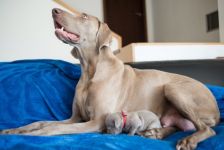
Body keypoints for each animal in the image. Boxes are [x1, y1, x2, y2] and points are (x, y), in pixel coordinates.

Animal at [0, 8, 220, 150]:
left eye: (84, 16)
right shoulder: (75, 117)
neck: (90, 70)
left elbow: (52, 127)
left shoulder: (96, 121)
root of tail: (217, 111)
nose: (54, 11)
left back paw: (188, 140)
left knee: (208, 130)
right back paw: (155, 133)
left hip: (173, 89)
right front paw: (13, 130)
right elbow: (40, 122)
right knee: (175, 125)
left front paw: (28, 135)